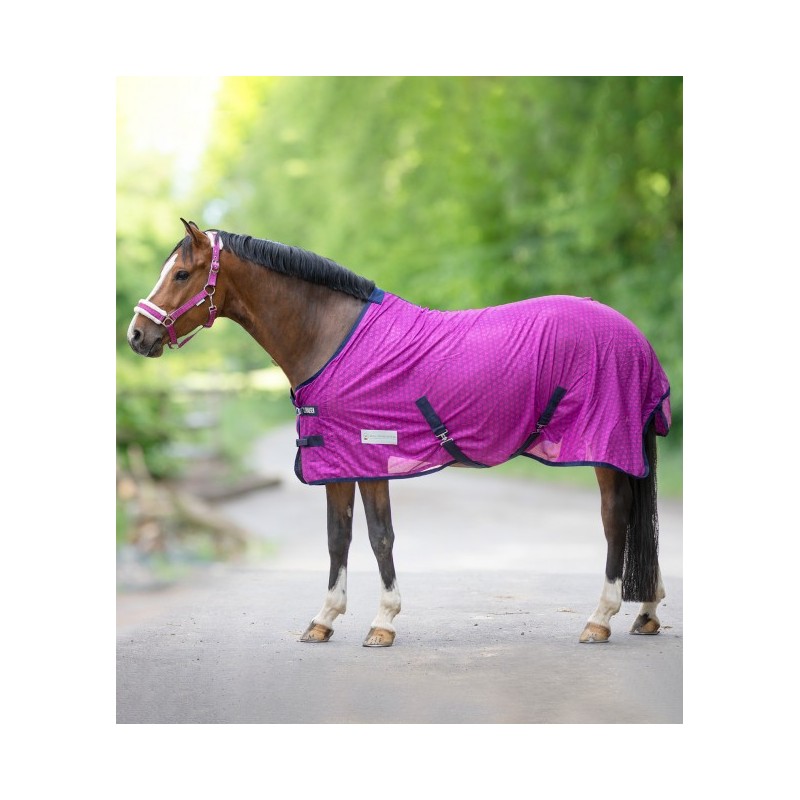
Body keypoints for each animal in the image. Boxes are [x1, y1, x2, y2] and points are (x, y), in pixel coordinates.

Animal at [127, 219, 672, 648]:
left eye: (181, 274)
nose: (136, 335)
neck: (331, 339)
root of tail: (635, 337)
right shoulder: (337, 461)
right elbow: (338, 537)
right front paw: (323, 620)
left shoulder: (371, 457)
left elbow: (379, 537)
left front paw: (382, 622)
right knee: (638, 523)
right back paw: (646, 614)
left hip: (603, 449)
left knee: (616, 520)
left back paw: (600, 619)